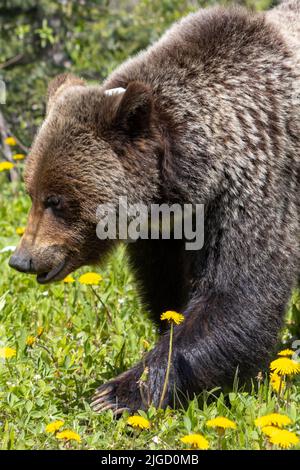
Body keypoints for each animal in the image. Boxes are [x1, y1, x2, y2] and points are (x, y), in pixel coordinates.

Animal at [8, 2, 298, 414]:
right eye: (32, 193)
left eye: (56, 200)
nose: (23, 259)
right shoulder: (164, 234)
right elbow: (169, 293)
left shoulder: (254, 182)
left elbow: (235, 295)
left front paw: (117, 393)